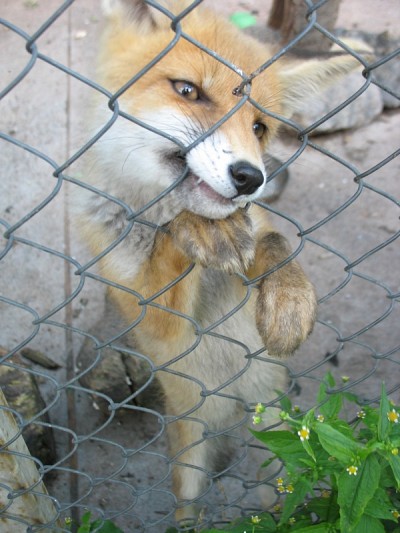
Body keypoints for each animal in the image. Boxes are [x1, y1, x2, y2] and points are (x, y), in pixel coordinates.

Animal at [75, 0, 371, 525]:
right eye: (188, 91)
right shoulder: (152, 317)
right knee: (189, 507)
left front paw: (289, 301)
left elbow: (273, 243)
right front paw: (197, 227)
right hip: (191, 454)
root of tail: (231, 409)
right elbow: (169, 254)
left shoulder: (258, 231)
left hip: (281, 430)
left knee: (286, 487)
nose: (251, 177)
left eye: (259, 127)